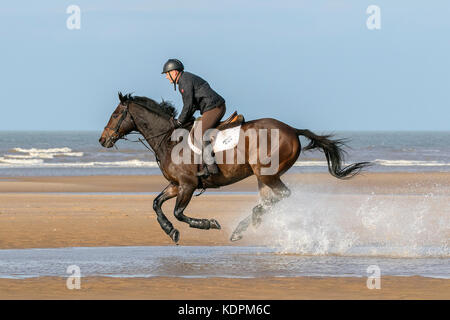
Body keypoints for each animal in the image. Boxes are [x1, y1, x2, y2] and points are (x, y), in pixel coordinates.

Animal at [98, 94, 370, 244]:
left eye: (116, 114)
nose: (103, 140)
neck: (169, 139)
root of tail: (292, 130)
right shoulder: (176, 185)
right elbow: (156, 204)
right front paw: (170, 231)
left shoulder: (187, 185)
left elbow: (178, 213)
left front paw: (207, 224)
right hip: (264, 177)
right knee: (270, 199)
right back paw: (244, 227)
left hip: (266, 173)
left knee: (282, 196)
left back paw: (246, 224)